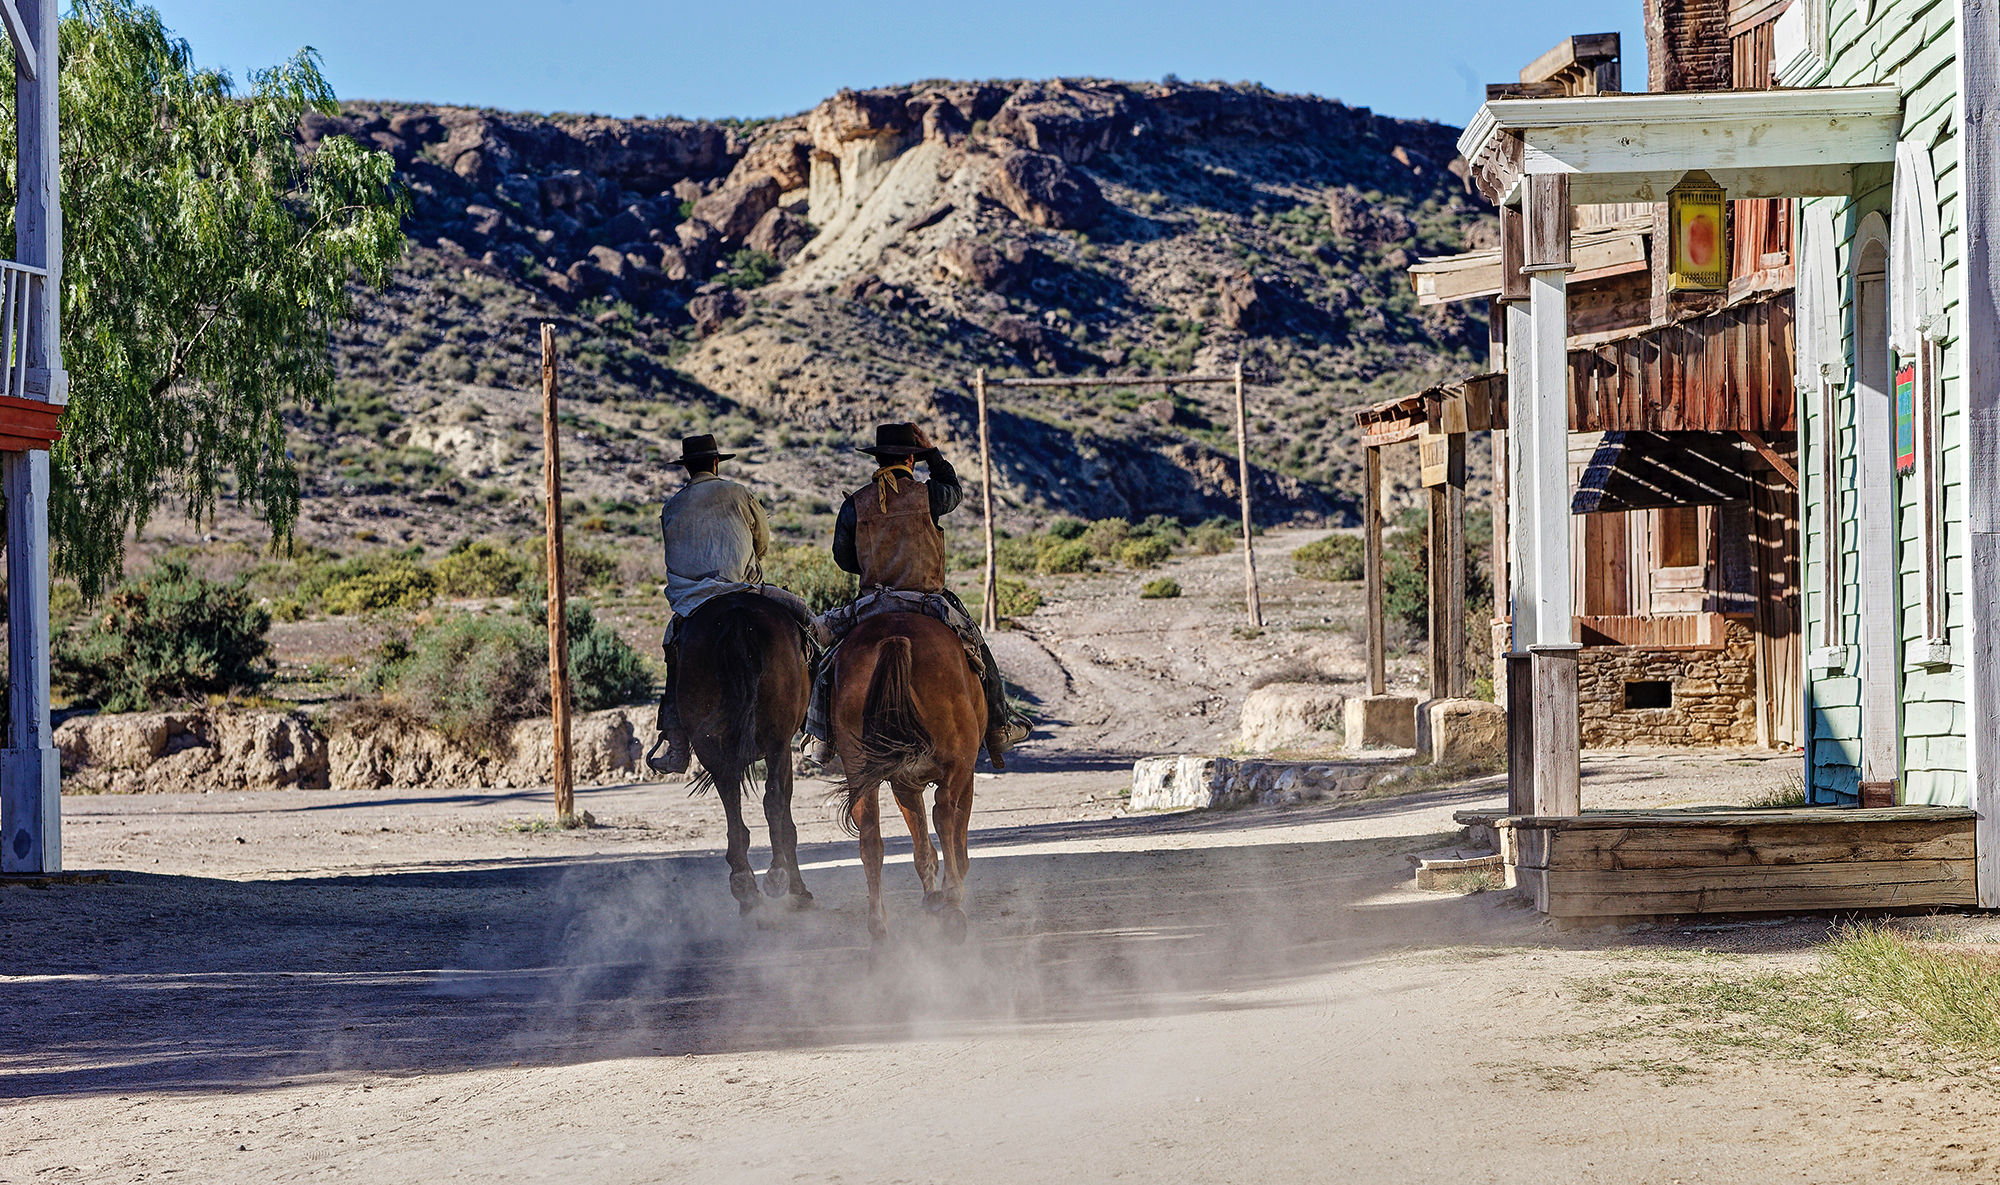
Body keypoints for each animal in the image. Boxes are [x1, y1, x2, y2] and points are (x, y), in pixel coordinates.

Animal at [680, 588, 812, 908]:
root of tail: (737, 615)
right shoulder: (784, 751)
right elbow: (786, 818)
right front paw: (799, 890)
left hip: (709, 746)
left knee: (731, 800)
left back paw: (744, 885)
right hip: (777, 741)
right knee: (772, 799)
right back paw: (776, 875)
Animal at [828, 612, 984, 944]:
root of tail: (894, 637)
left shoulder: (903, 781)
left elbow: (921, 843)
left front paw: (931, 898)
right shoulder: (964, 773)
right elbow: (954, 836)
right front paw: (943, 896)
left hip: (861, 769)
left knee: (870, 837)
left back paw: (879, 925)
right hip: (959, 760)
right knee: (943, 812)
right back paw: (953, 900)